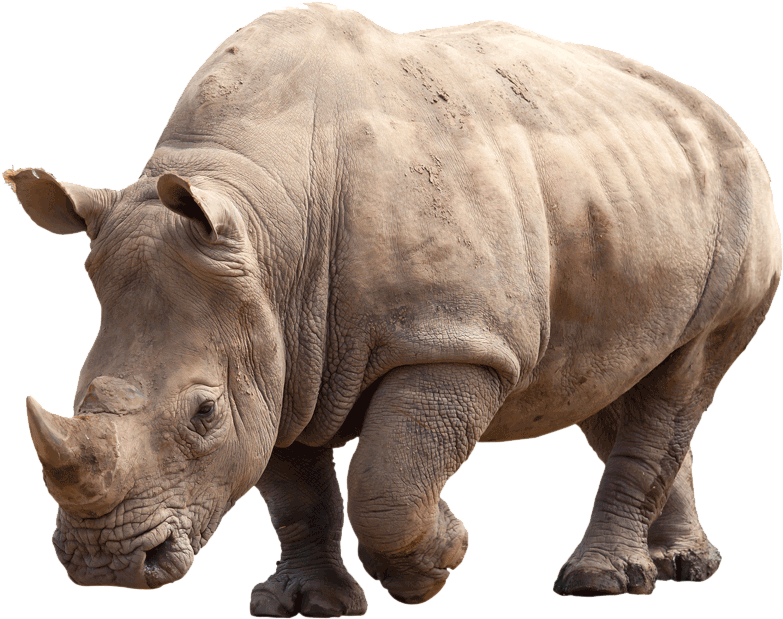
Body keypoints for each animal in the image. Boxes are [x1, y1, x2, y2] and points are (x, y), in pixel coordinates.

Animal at [7, 2, 780, 615]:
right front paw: (305, 604)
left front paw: (438, 558)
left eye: (204, 414)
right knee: (613, 384)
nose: (105, 565)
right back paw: (680, 566)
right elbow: (295, 492)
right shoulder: (275, 347)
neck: (267, 226)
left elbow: (387, 479)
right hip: (632, 191)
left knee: (681, 377)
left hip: (740, 198)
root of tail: (717, 113)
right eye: (78, 394)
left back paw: (603, 582)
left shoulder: (451, 340)